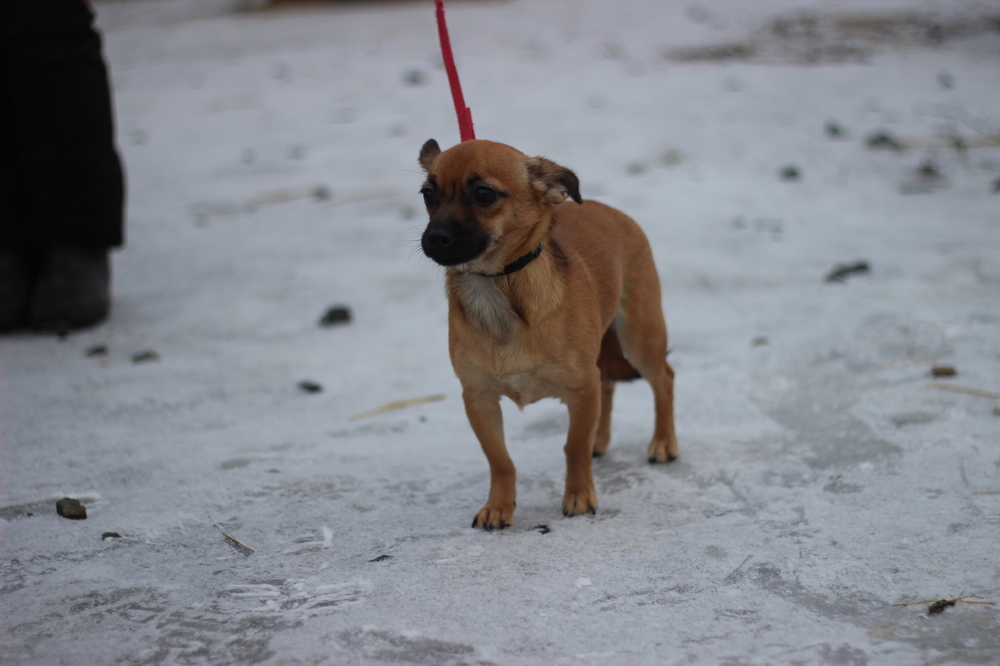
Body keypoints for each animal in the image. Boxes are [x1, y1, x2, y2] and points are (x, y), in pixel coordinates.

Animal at [418, 138, 677, 530]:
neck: (497, 288)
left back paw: (663, 442)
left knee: (663, 379)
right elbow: (499, 459)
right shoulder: (478, 397)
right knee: (608, 385)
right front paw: (498, 506)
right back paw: (600, 439)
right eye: (427, 195)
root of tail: (609, 210)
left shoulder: (580, 387)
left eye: (484, 194)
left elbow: (573, 447)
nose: (434, 237)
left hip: (640, 336)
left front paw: (580, 496)